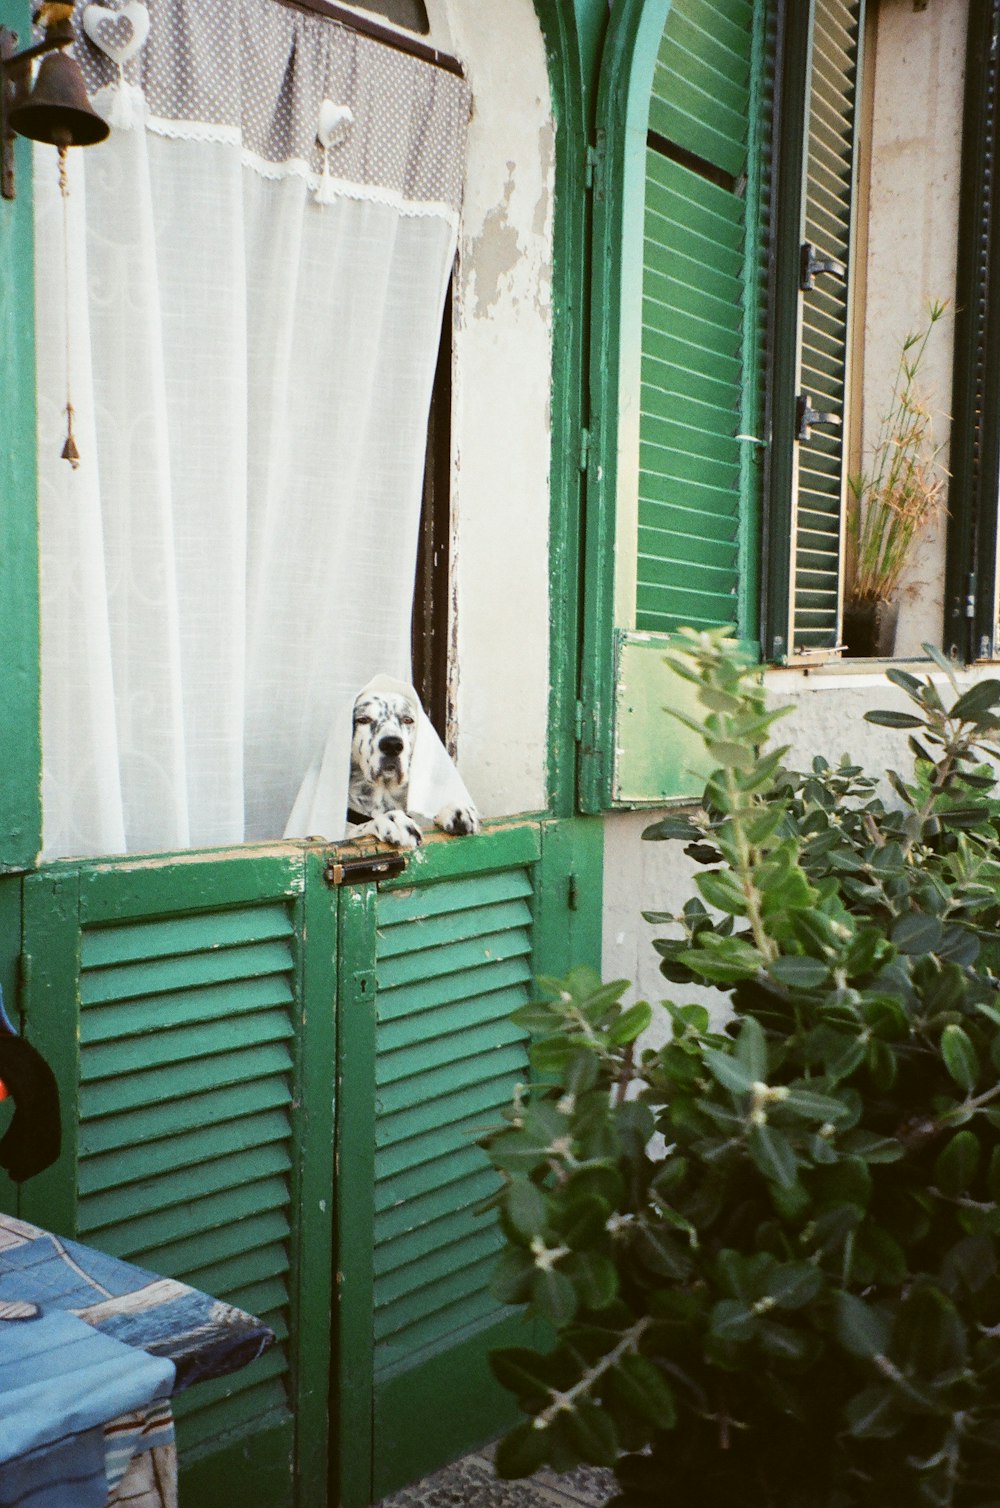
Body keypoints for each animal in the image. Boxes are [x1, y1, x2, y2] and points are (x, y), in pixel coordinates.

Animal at [348, 687, 482, 850]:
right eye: (363, 719)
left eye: (407, 719)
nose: (392, 745)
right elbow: (355, 831)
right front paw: (390, 821)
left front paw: (454, 810)